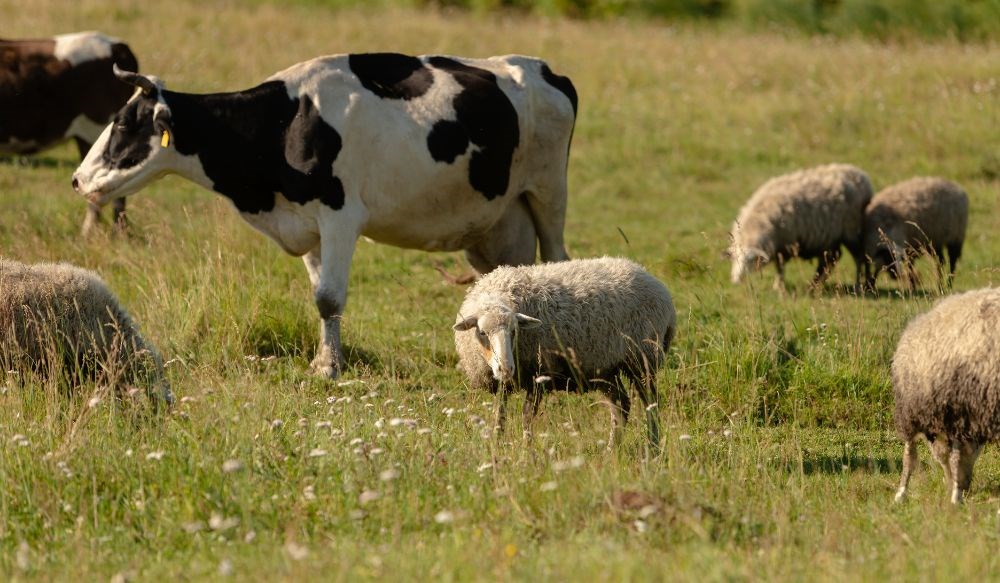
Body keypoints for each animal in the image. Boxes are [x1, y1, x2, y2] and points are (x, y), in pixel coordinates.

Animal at [72, 53, 577, 379]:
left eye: (122, 122)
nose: (77, 180)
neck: (285, 124)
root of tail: (542, 68)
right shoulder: (306, 227)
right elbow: (318, 297)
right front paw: (322, 360)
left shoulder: (339, 217)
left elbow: (330, 298)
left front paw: (330, 369)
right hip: (498, 223)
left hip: (549, 193)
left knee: (558, 259)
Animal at [452, 257, 675, 449]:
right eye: (482, 332)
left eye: (514, 331)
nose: (506, 368)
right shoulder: (502, 384)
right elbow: (499, 416)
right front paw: (497, 448)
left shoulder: (538, 374)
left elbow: (526, 417)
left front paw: (527, 452)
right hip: (606, 367)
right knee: (621, 405)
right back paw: (612, 449)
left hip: (642, 358)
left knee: (651, 403)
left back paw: (653, 447)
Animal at [727, 164, 874, 291]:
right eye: (734, 259)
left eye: (750, 261)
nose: (735, 280)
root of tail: (862, 176)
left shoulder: (785, 244)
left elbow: (780, 268)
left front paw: (778, 286)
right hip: (832, 236)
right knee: (832, 259)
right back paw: (816, 284)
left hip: (852, 230)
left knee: (859, 257)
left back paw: (859, 285)